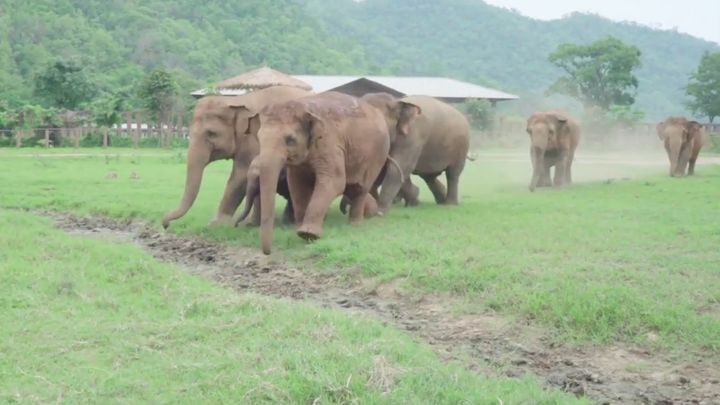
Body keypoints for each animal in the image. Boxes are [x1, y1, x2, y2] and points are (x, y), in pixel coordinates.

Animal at [162, 85, 308, 229]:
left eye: (211, 133)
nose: (165, 224)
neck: (237, 102)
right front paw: (251, 224)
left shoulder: (254, 138)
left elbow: (241, 174)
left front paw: (216, 225)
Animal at [238, 93, 388, 254]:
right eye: (259, 138)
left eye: (290, 140)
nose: (268, 252)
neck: (304, 106)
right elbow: (297, 184)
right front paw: (298, 228)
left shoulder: (330, 143)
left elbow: (335, 181)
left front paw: (307, 234)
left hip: (377, 156)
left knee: (361, 188)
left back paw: (354, 224)